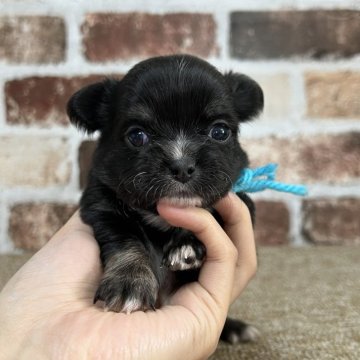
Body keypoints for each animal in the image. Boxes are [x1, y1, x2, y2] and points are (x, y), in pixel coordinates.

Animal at [67, 53, 262, 344]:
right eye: (137, 136)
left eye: (220, 132)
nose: (182, 165)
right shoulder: (102, 206)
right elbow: (126, 240)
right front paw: (130, 282)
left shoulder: (241, 201)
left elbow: (211, 212)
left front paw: (187, 245)